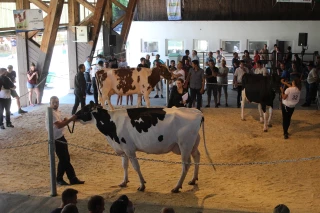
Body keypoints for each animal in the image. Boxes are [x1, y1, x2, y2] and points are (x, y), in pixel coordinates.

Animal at [75, 103, 205, 193]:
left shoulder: (129, 149)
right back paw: (193, 179)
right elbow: (125, 166)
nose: (74, 116)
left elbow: (136, 167)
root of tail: (197, 112)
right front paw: (124, 182)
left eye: (85, 109)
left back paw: (177, 187)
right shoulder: (123, 149)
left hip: (185, 145)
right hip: (193, 144)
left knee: (186, 165)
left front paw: (142, 185)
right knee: (197, 156)